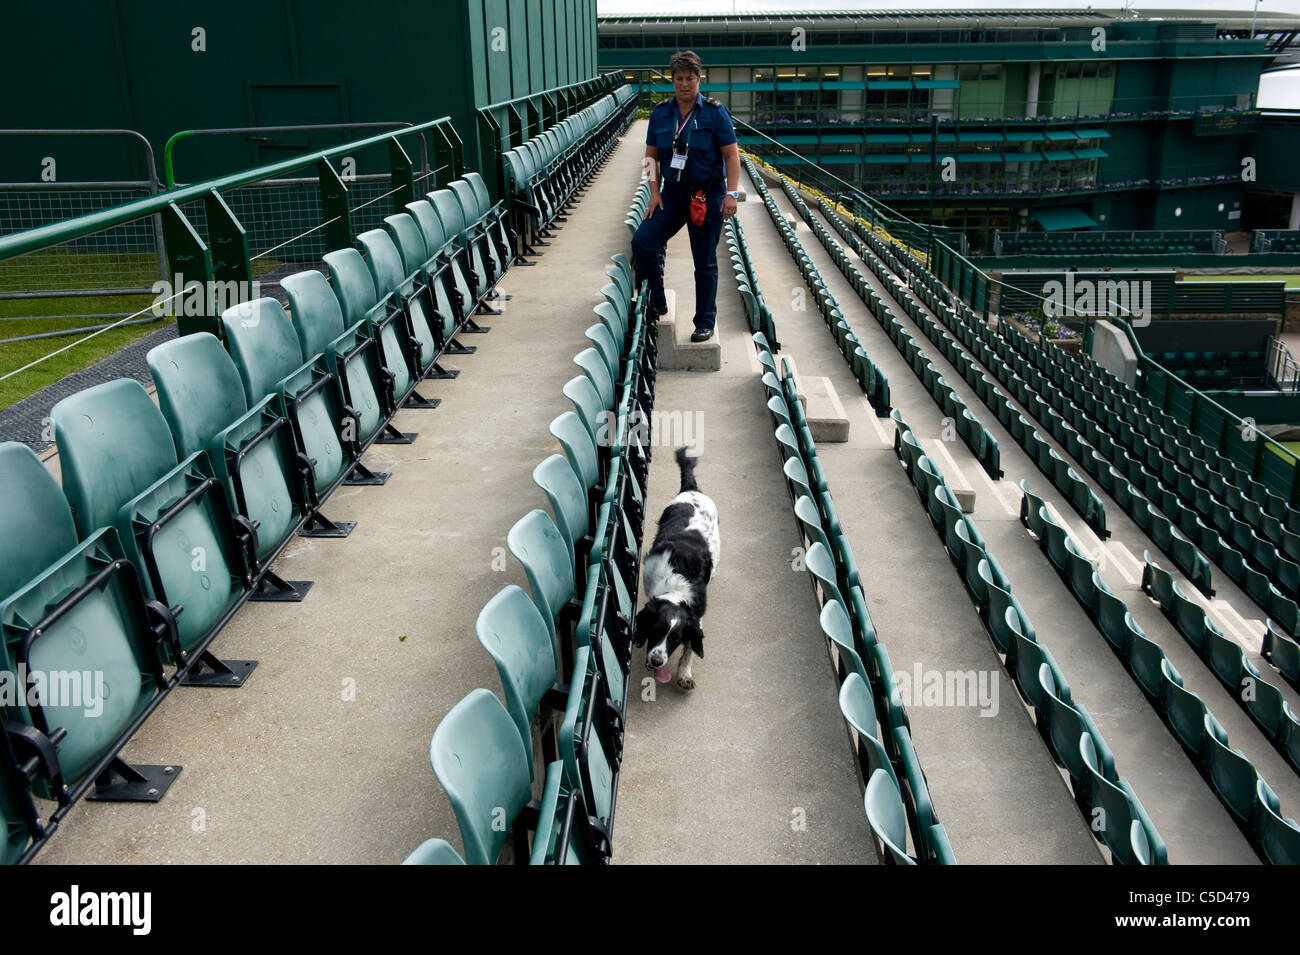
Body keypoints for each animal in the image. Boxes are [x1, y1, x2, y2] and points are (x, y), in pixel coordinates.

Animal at [631, 452, 717, 691]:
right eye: (656, 630)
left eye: (675, 638)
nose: (656, 660)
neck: (675, 587)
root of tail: (692, 489)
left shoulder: (696, 614)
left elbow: (690, 648)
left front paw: (685, 674)